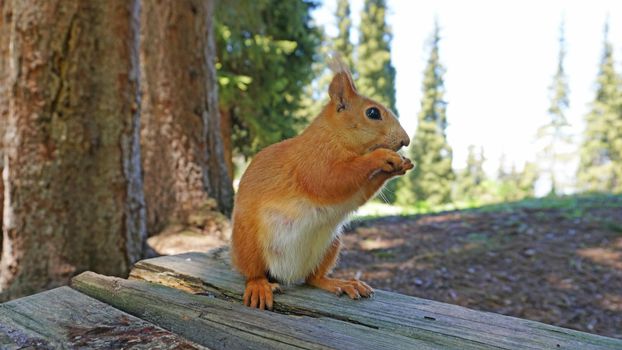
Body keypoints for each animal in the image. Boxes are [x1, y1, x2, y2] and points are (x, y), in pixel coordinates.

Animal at [232, 56, 412, 310]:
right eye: (373, 113)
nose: (406, 140)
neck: (333, 136)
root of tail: (288, 274)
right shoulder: (313, 163)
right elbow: (331, 180)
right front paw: (381, 157)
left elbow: (358, 193)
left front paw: (399, 166)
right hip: (249, 243)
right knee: (253, 272)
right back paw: (258, 286)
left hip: (330, 246)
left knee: (312, 278)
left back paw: (341, 283)